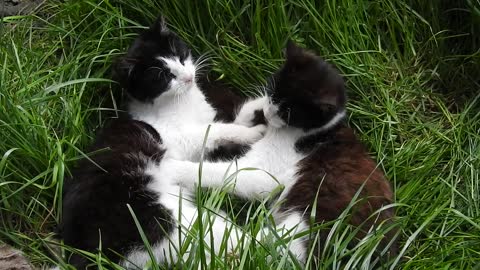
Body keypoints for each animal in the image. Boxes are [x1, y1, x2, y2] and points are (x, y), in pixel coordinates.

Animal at [61, 17, 262, 268]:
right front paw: (255, 133)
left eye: (180, 55)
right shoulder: (181, 138)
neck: (183, 102)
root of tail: (83, 252)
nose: (188, 77)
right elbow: (217, 129)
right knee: (237, 240)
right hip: (170, 222)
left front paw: (260, 107)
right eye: (163, 77)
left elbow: (229, 121)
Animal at [159, 41, 396, 264]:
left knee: (258, 246)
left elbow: (223, 172)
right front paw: (252, 112)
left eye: (287, 111)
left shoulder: (267, 173)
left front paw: (172, 167)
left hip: (311, 220)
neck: (316, 133)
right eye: (272, 93)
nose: (267, 111)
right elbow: (231, 126)